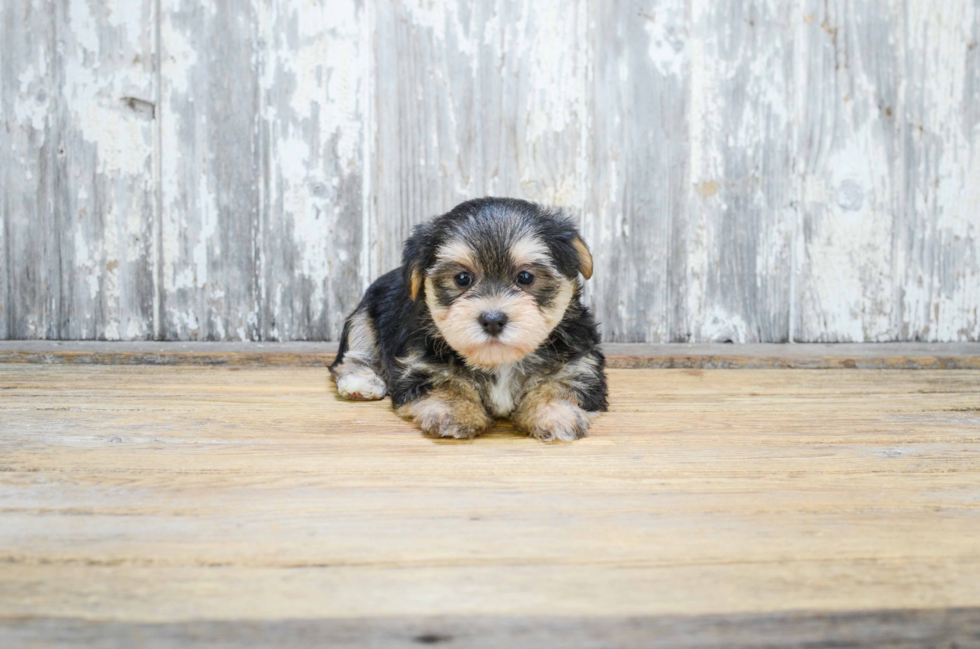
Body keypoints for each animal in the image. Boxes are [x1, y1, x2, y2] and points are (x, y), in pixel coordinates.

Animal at [330, 197, 604, 440]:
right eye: (462, 278)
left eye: (525, 277)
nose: (493, 319)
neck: (498, 361)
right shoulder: (420, 364)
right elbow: (446, 382)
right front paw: (454, 411)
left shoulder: (580, 364)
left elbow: (559, 386)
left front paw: (556, 414)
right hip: (364, 316)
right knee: (355, 354)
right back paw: (360, 382)